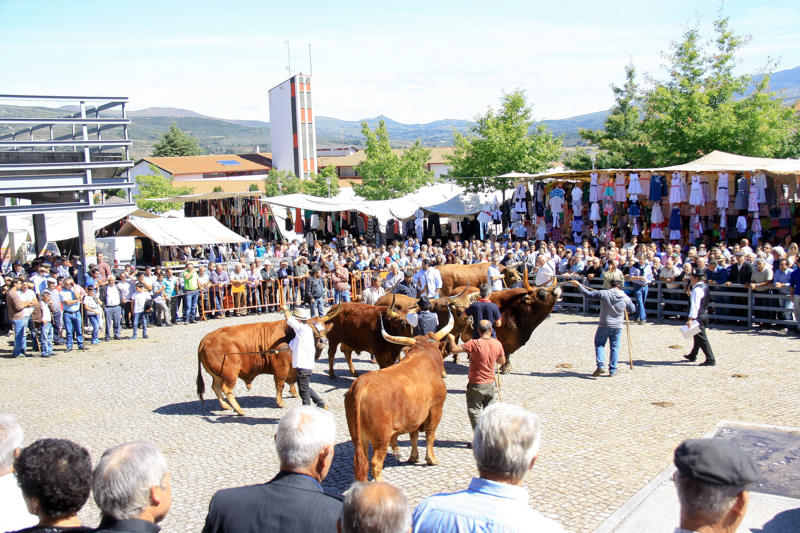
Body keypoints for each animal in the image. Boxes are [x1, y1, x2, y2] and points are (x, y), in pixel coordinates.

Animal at [198, 306, 342, 414]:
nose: (323, 341)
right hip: (230, 374)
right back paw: (238, 409)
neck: (290, 334)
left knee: (216, 387)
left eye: (324, 327)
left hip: (218, 375)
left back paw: (225, 406)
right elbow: (280, 384)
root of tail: (206, 338)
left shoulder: (294, 368)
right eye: (311, 329)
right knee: (227, 390)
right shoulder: (281, 367)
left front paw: (294, 392)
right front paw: (280, 402)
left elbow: (295, 382)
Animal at [346, 310, 454, 480]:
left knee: (362, 464)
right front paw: (431, 459)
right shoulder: (436, 409)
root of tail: (361, 384)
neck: (424, 354)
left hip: (358, 437)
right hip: (381, 438)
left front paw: (413, 457)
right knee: (375, 463)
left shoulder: (415, 415)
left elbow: (413, 435)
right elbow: (430, 435)